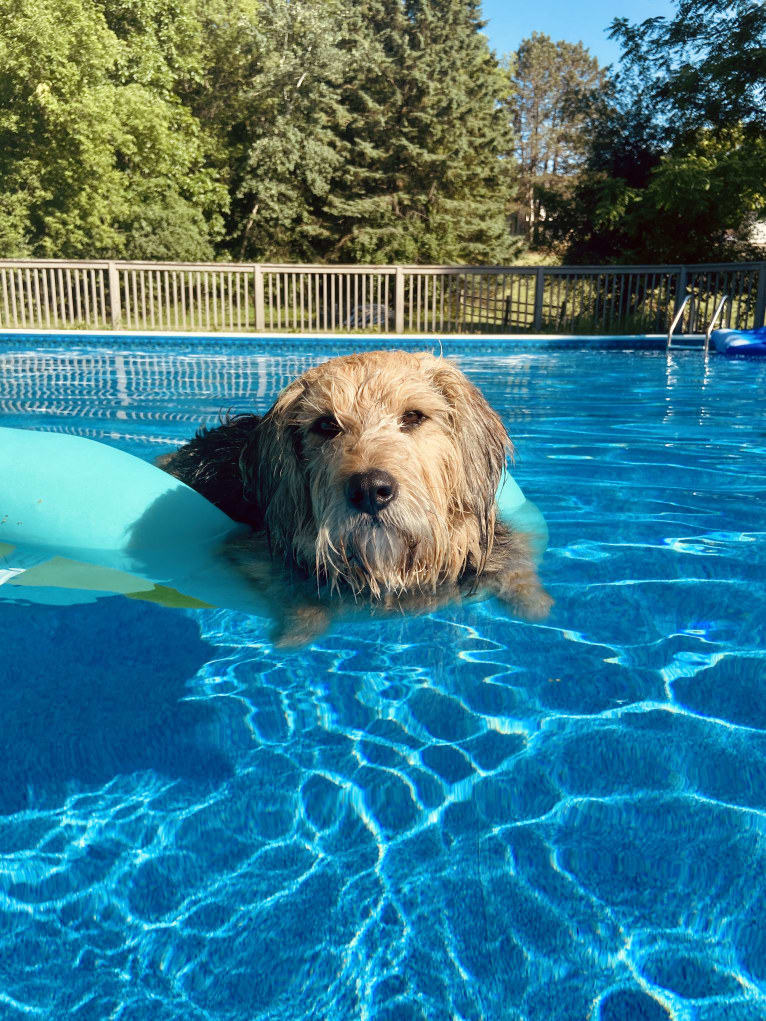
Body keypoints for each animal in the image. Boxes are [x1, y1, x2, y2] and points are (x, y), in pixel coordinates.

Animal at [160, 347, 551, 641]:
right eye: (325, 425)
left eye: (414, 416)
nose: (369, 490)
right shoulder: (249, 551)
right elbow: (292, 593)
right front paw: (297, 631)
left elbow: (516, 569)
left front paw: (534, 603)